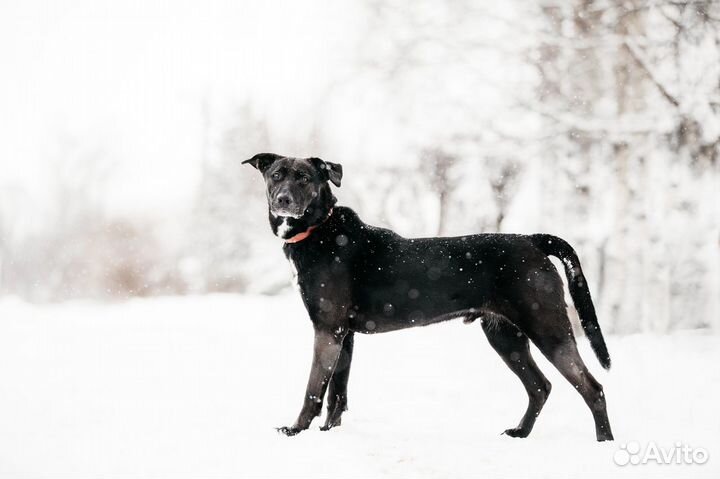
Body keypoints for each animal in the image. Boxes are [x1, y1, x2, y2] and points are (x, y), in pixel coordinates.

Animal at [242, 154, 612, 442]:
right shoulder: (343, 335)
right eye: (276, 175)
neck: (319, 230)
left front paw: (295, 431)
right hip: (505, 336)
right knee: (540, 387)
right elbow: (337, 392)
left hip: (548, 328)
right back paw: (520, 433)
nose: (283, 199)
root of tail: (533, 240)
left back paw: (603, 441)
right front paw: (328, 433)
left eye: (304, 178)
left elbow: (314, 389)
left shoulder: (327, 330)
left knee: (592, 387)